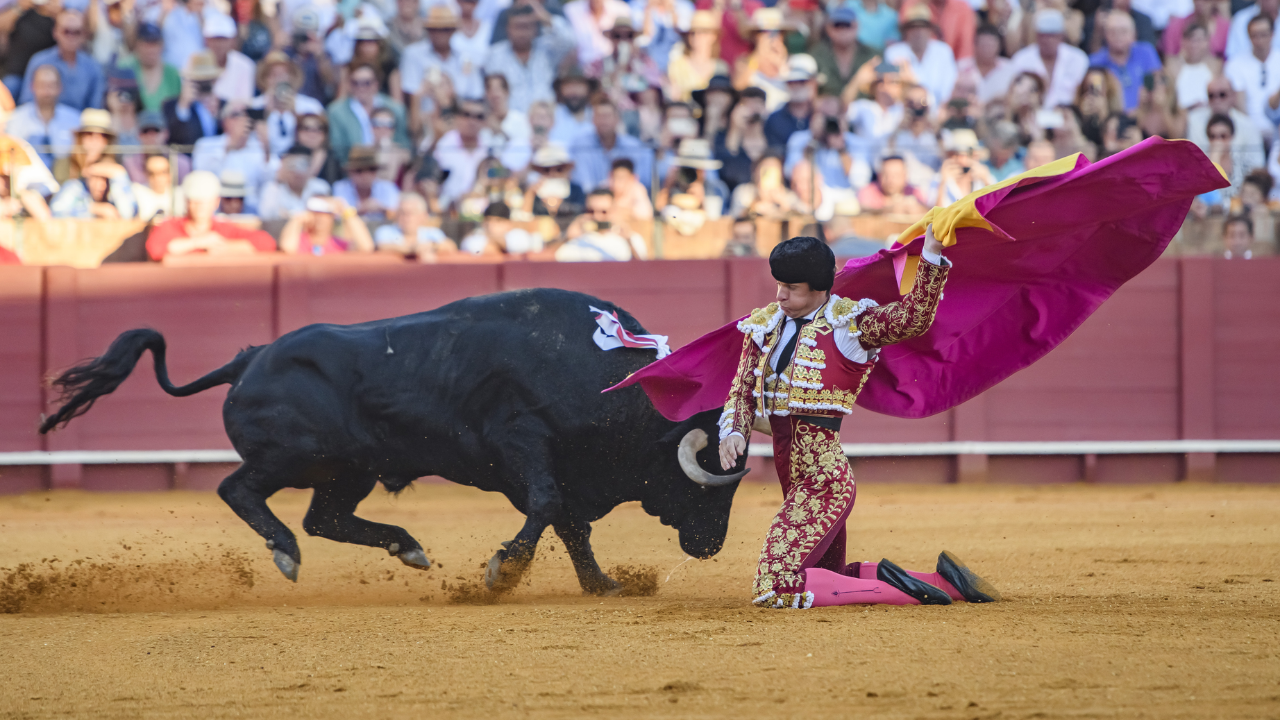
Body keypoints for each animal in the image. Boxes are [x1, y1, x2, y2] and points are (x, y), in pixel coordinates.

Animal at [37, 285, 747, 594]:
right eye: (711, 481)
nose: (711, 545)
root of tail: (251, 358)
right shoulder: (523, 445)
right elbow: (550, 509)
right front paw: (503, 572)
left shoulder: (558, 469)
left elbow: (571, 524)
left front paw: (602, 584)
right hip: (292, 455)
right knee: (238, 490)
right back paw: (285, 554)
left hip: (347, 469)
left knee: (325, 517)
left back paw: (407, 548)